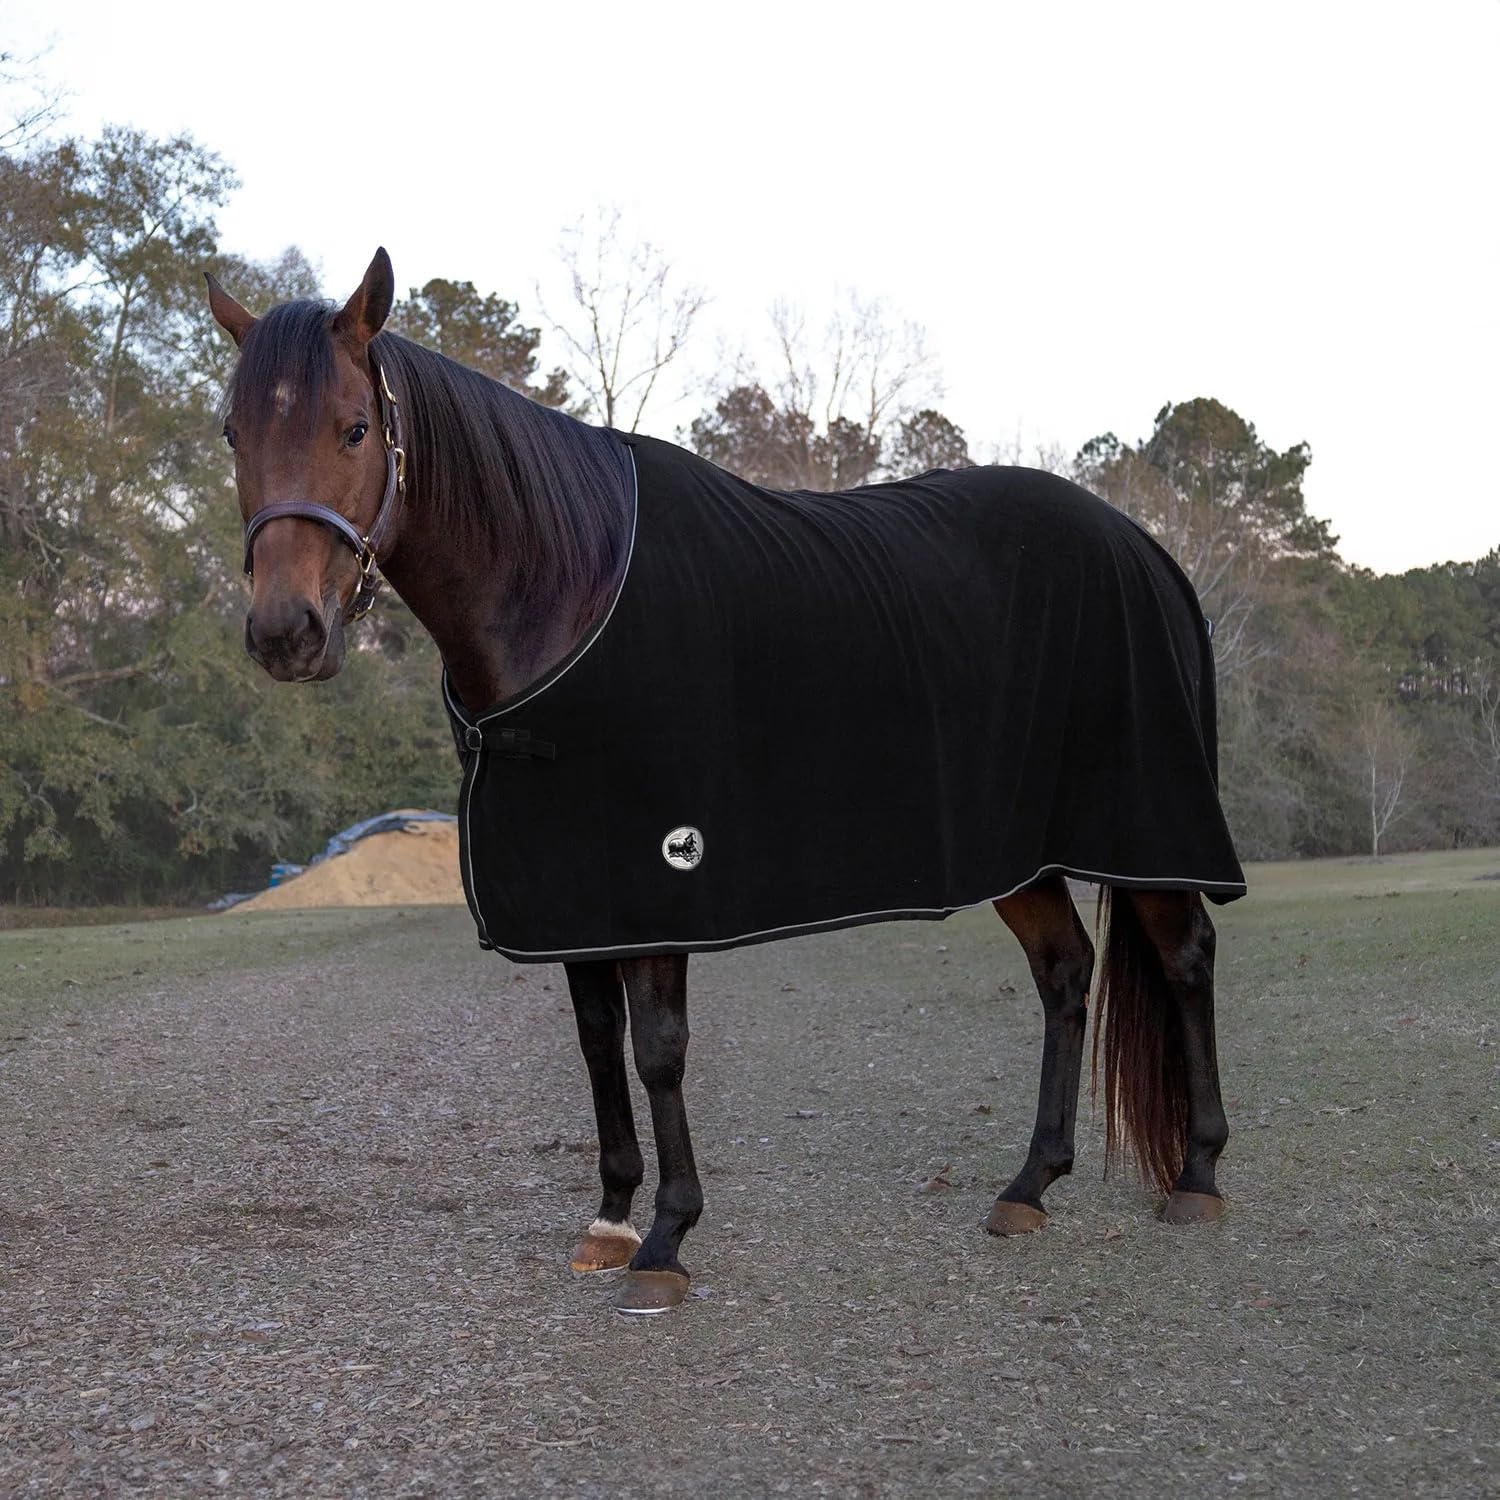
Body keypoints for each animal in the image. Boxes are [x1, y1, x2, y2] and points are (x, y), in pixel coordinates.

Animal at [206, 248, 1245, 1316]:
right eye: (235, 432)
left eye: (355, 427)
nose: (286, 633)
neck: (567, 586)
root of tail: (1145, 548)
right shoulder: (576, 887)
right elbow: (596, 1039)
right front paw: (611, 1217)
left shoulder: (663, 873)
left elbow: (659, 1050)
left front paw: (668, 1238)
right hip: (1020, 852)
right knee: (1066, 972)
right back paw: (1031, 1183)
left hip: (1146, 826)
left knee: (1185, 955)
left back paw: (1199, 1174)